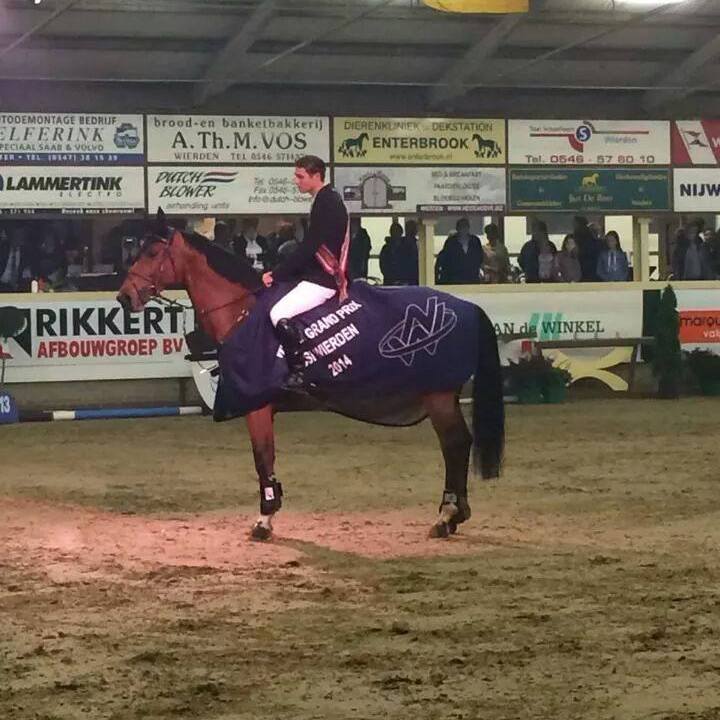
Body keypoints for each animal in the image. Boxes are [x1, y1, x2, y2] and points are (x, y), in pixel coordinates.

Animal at [116, 218, 500, 540]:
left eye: (152, 253)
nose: (123, 296)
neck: (242, 311)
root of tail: (467, 307)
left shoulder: (258, 408)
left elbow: (263, 458)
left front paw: (264, 520)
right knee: (460, 444)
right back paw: (454, 515)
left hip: (438, 397)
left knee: (454, 445)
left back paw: (446, 516)